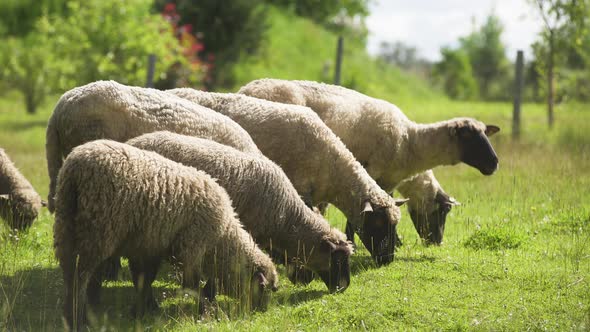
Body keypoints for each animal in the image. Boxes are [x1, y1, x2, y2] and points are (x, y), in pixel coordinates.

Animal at [54, 140, 278, 330]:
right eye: (263, 288)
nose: (262, 312)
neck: (222, 238)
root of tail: (76, 166)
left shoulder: (148, 246)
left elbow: (144, 280)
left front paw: (143, 309)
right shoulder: (191, 247)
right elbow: (191, 284)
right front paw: (205, 312)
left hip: (66, 226)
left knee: (70, 274)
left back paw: (72, 314)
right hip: (98, 231)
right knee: (81, 276)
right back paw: (78, 318)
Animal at [238, 78, 502, 244]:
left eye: (485, 134)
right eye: (469, 136)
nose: (494, 163)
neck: (410, 143)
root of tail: (243, 90)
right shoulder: (372, 174)